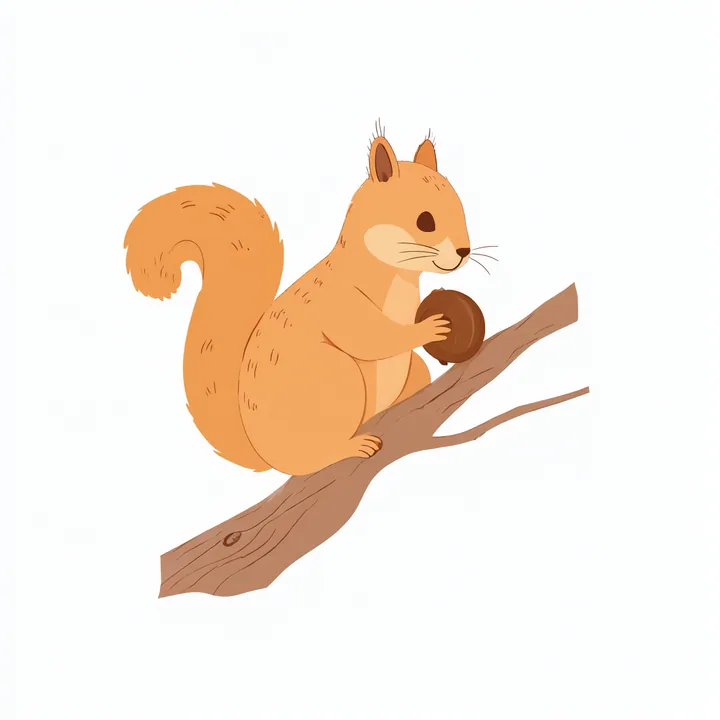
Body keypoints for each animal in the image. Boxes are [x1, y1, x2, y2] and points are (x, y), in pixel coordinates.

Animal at [123, 131, 472, 476]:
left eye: (460, 207)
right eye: (424, 220)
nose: (464, 252)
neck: (396, 278)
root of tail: (266, 456)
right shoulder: (340, 303)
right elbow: (371, 338)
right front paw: (431, 327)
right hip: (335, 377)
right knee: (310, 460)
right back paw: (347, 448)